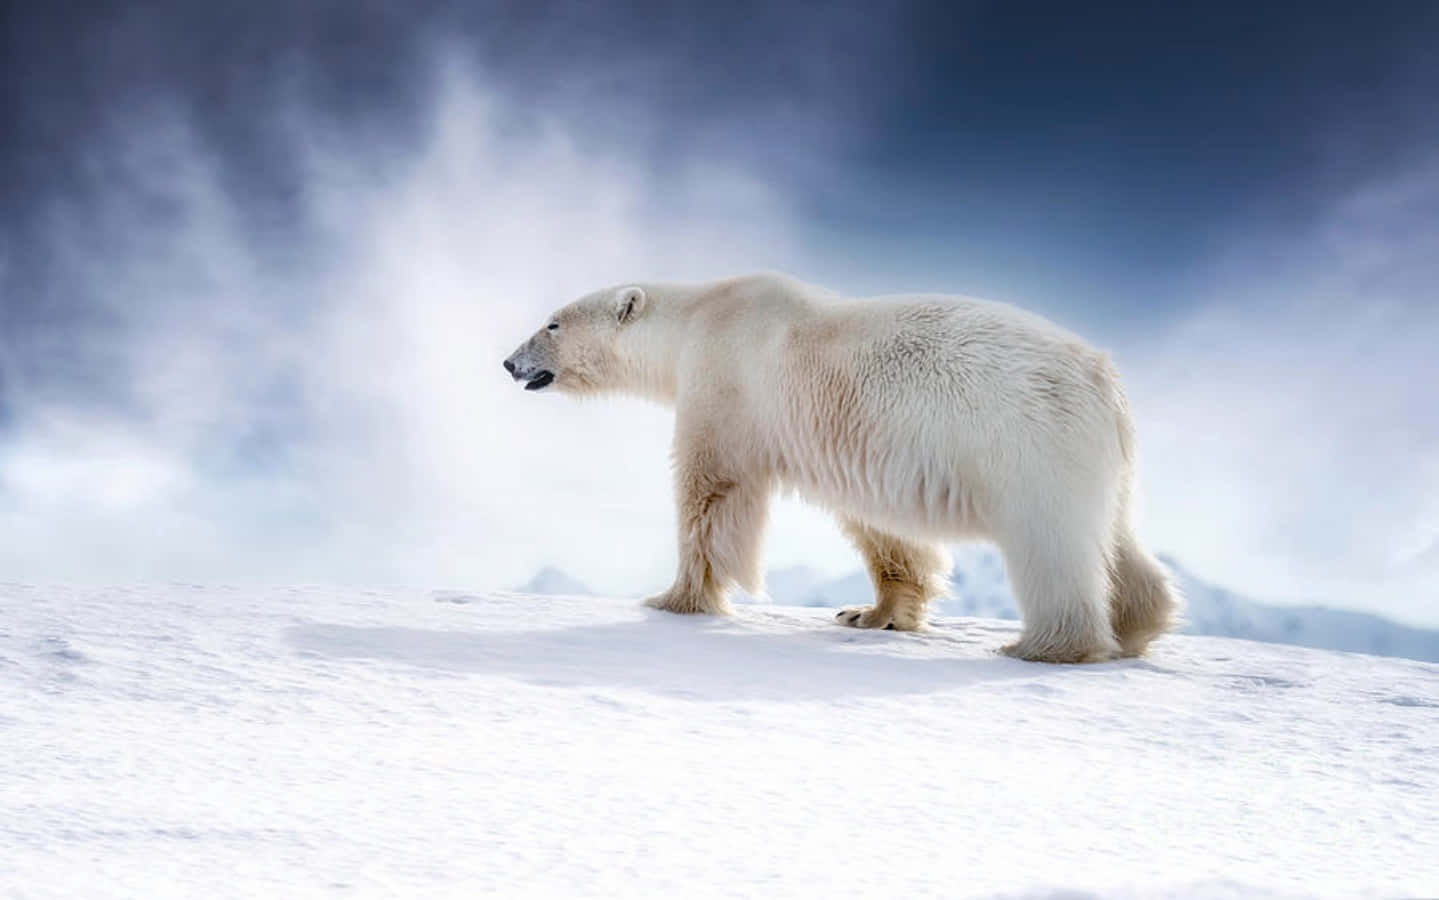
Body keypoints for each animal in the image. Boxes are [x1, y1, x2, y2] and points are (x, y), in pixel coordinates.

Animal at [503, 273, 1177, 663]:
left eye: (552, 322)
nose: (509, 362)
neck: (698, 317)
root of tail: (1102, 376)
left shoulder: (726, 386)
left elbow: (712, 493)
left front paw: (674, 600)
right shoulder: (854, 441)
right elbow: (881, 526)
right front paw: (871, 614)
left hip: (1025, 442)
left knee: (1051, 544)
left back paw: (1042, 646)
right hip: (1092, 455)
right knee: (1115, 538)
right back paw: (1137, 624)